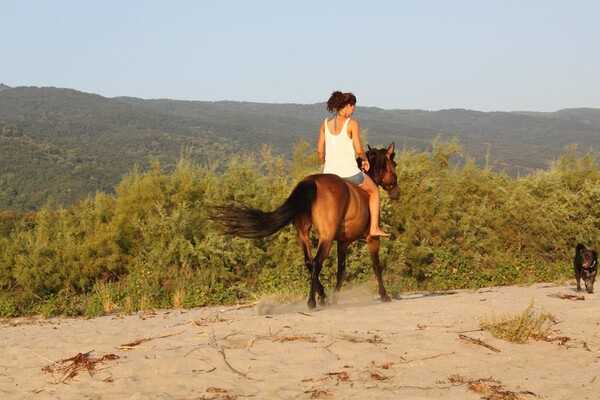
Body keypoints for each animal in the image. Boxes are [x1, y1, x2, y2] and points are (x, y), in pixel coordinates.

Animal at [210, 144, 398, 310]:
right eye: (394, 165)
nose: (397, 192)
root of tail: (311, 182)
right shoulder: (371, 238)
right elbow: (376, 266)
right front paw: (384, 295)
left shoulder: (343, 242)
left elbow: (341, 270)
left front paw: (334, 299)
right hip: (326, 238)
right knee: (316, 262)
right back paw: (312, 302)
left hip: (303, 233)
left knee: (309, 261)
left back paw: (322, 296)